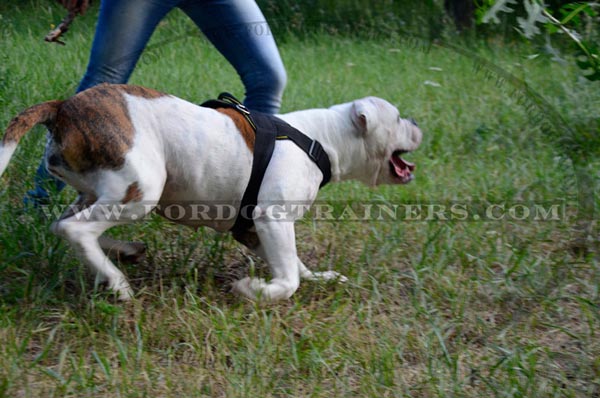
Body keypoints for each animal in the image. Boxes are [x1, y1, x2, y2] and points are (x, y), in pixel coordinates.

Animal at [0, 84, 422, 302]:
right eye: (398, 117)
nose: (418, 123)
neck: (323, 138)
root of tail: (64, 106)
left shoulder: (254, 229)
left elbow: (296, 266)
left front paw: (319, 277)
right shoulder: (272, 219)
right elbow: (288, 280)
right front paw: (253, 290)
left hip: (97, 189)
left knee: (65, 223)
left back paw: (122, 252)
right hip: (142, 188)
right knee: (74, 229)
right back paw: (117, 282)